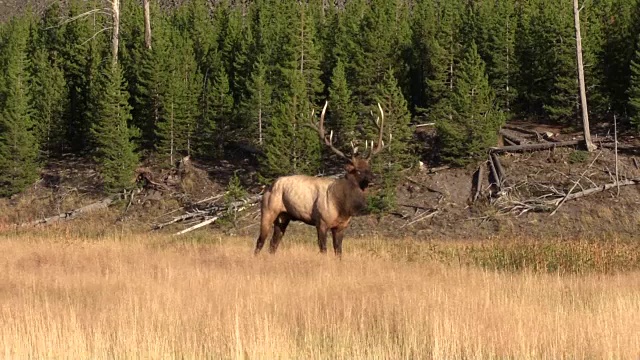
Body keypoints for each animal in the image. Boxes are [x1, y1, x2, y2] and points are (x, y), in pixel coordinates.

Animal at [252, 100, 388, 256]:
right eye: (358, 171)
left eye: (369, 168)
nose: (373, 179)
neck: (343, 206)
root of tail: (268, 186)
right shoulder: (321, 222)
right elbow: (323, 249)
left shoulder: (341, 226)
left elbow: (338, 252)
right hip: (268, 210)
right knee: (260, 241)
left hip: (284, 217)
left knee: (273, 244)